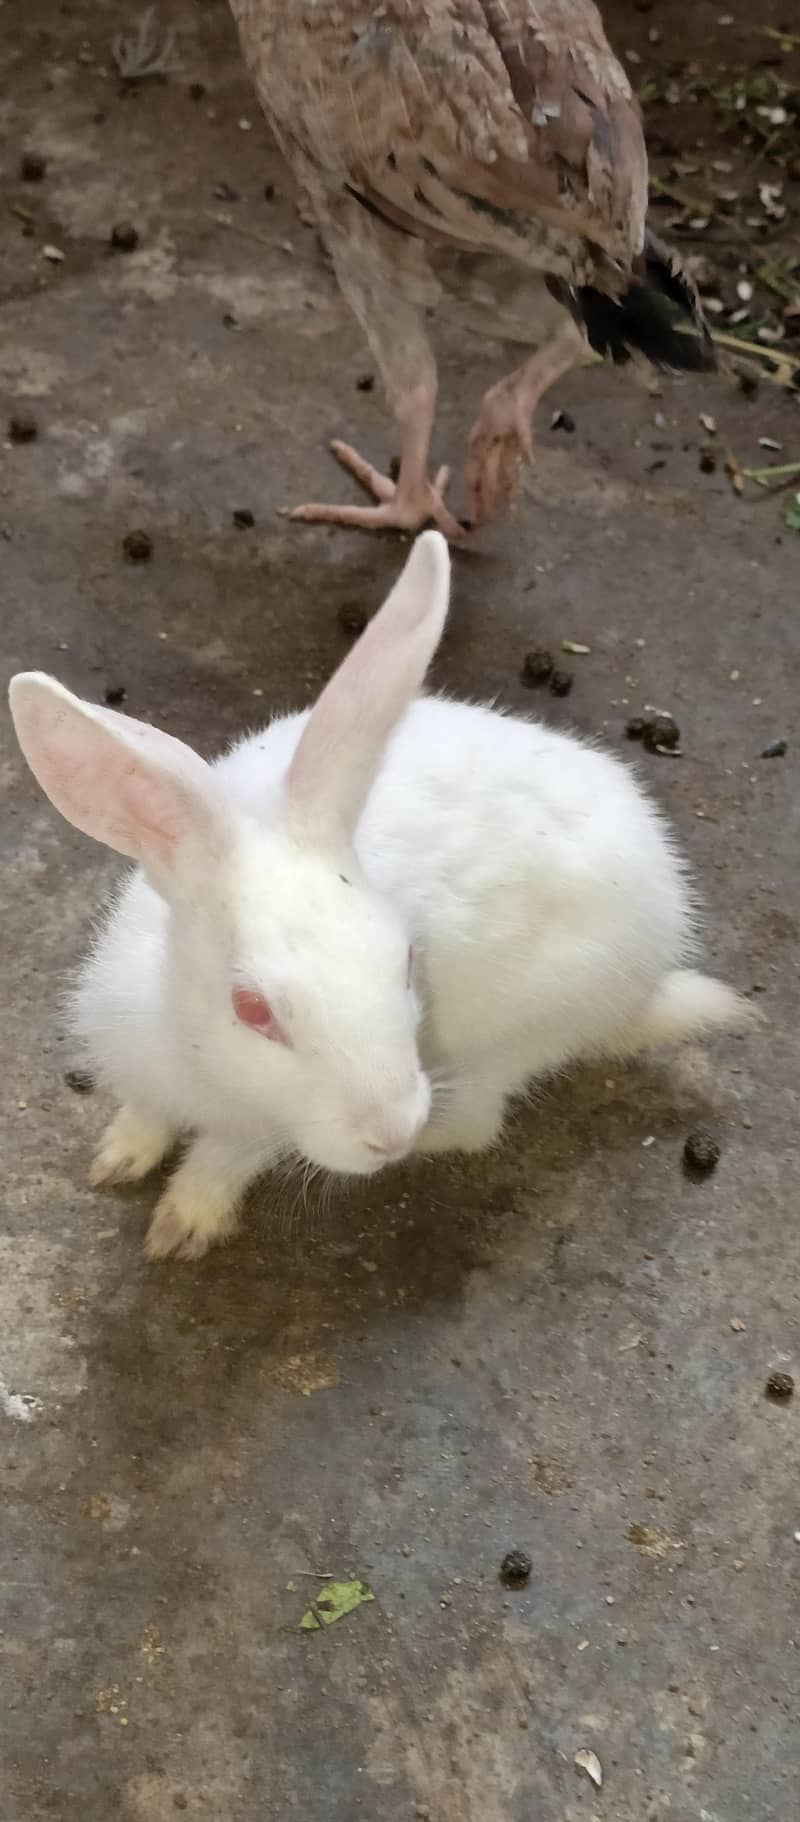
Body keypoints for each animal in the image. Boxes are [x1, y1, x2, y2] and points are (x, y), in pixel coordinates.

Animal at [9, 531, 747, 1261]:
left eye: (407, 962)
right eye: (251, 1009)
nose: (388, 1134)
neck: (198, 1061)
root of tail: (651, 971)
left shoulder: (262, 1132)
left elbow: (220, 1161)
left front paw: (180, 1229)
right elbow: (145, 1117)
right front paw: (115, 1162)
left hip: (519, 1033)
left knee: (479, 1121)